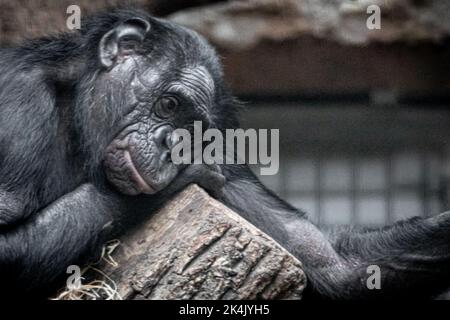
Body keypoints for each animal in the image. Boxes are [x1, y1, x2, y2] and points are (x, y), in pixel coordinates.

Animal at [0, 8, 450, 298]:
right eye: (169, 105)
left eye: (194, 131)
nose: (171, 147)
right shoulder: (19, 101)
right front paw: (190, 171)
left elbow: (334, 263)